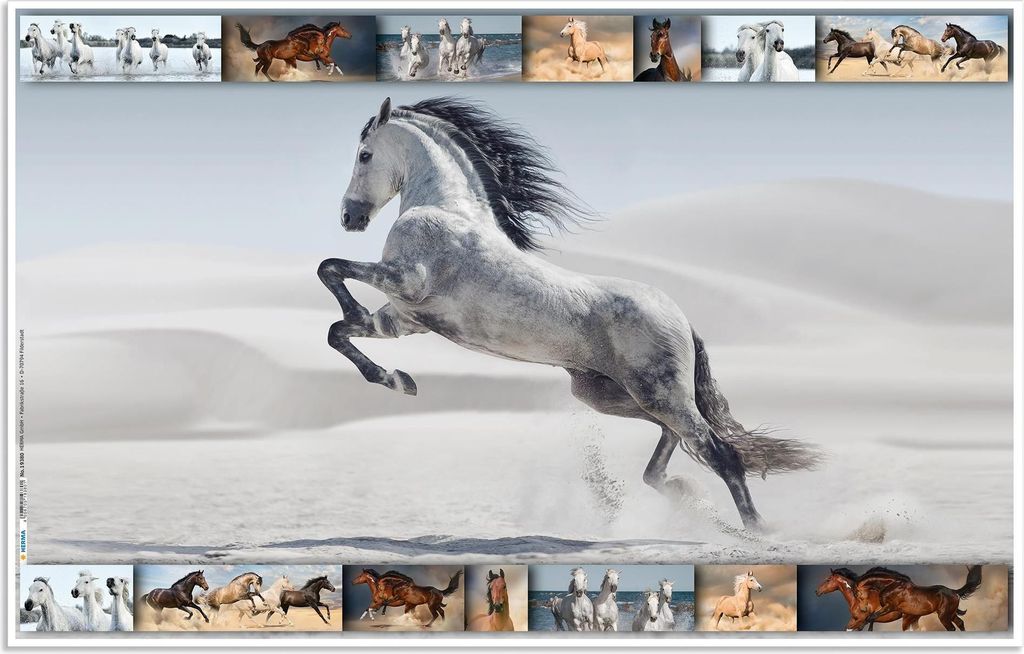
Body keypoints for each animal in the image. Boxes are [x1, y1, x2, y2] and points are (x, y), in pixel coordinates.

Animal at [320, 97, 820, 530]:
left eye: (364, 155)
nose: (348, 217)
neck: (446, 209)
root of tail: (681, 318)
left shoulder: (407, 280)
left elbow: (330, 269)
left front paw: (380, 350)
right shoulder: (403, 320)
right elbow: (338, 331)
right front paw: (398, 380)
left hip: (658, 393)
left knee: (719, 452)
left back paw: (755, 530)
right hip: (610, 395)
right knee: (673, 442)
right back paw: (681, 492)